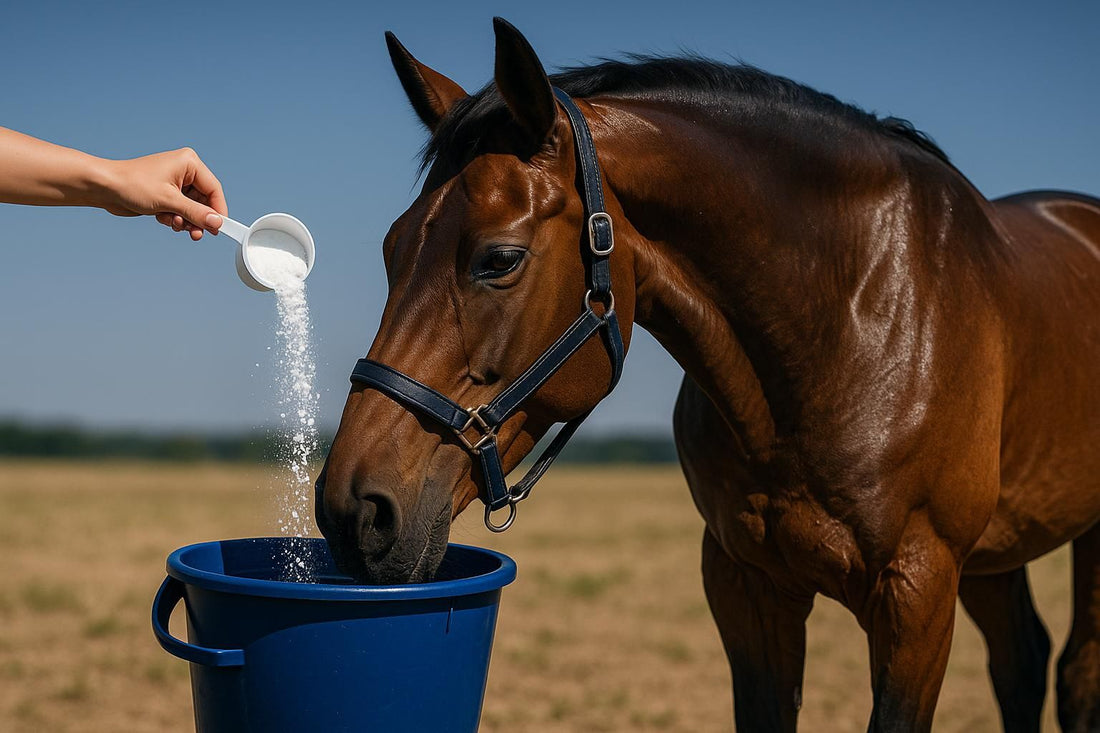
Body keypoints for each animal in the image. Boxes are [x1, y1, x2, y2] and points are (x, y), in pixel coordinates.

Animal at [315, 18, 1100, 732]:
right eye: (391, 247)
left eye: (499, 259)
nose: (353, 509)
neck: (846, 328)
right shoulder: (745, 585)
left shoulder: (918, 590)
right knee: (1023, 661)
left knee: (1073, 675)